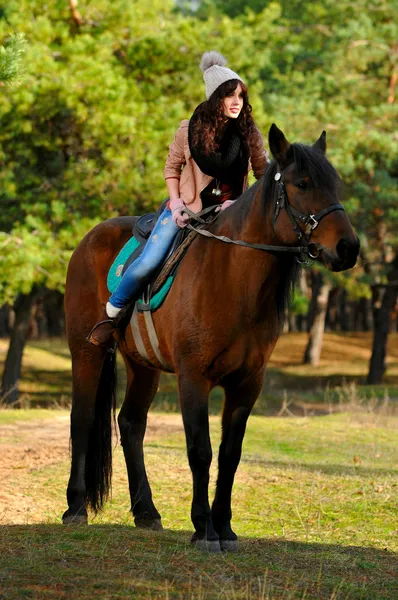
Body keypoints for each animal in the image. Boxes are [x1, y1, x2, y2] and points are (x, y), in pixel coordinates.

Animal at [62, 124, 360, 552]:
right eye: (303, 183)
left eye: (335, 185)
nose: (348, 248)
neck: (231, 279)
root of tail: (90, 239)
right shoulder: (194, 378)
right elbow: (200, 451)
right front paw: (203, 528)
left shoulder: (247, 384)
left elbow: (230, 454)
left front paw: (225, 528)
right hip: (87, 351)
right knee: (83, 418)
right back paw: (75, 507)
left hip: (143, 366)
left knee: (131, 423)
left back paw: (146, 512)